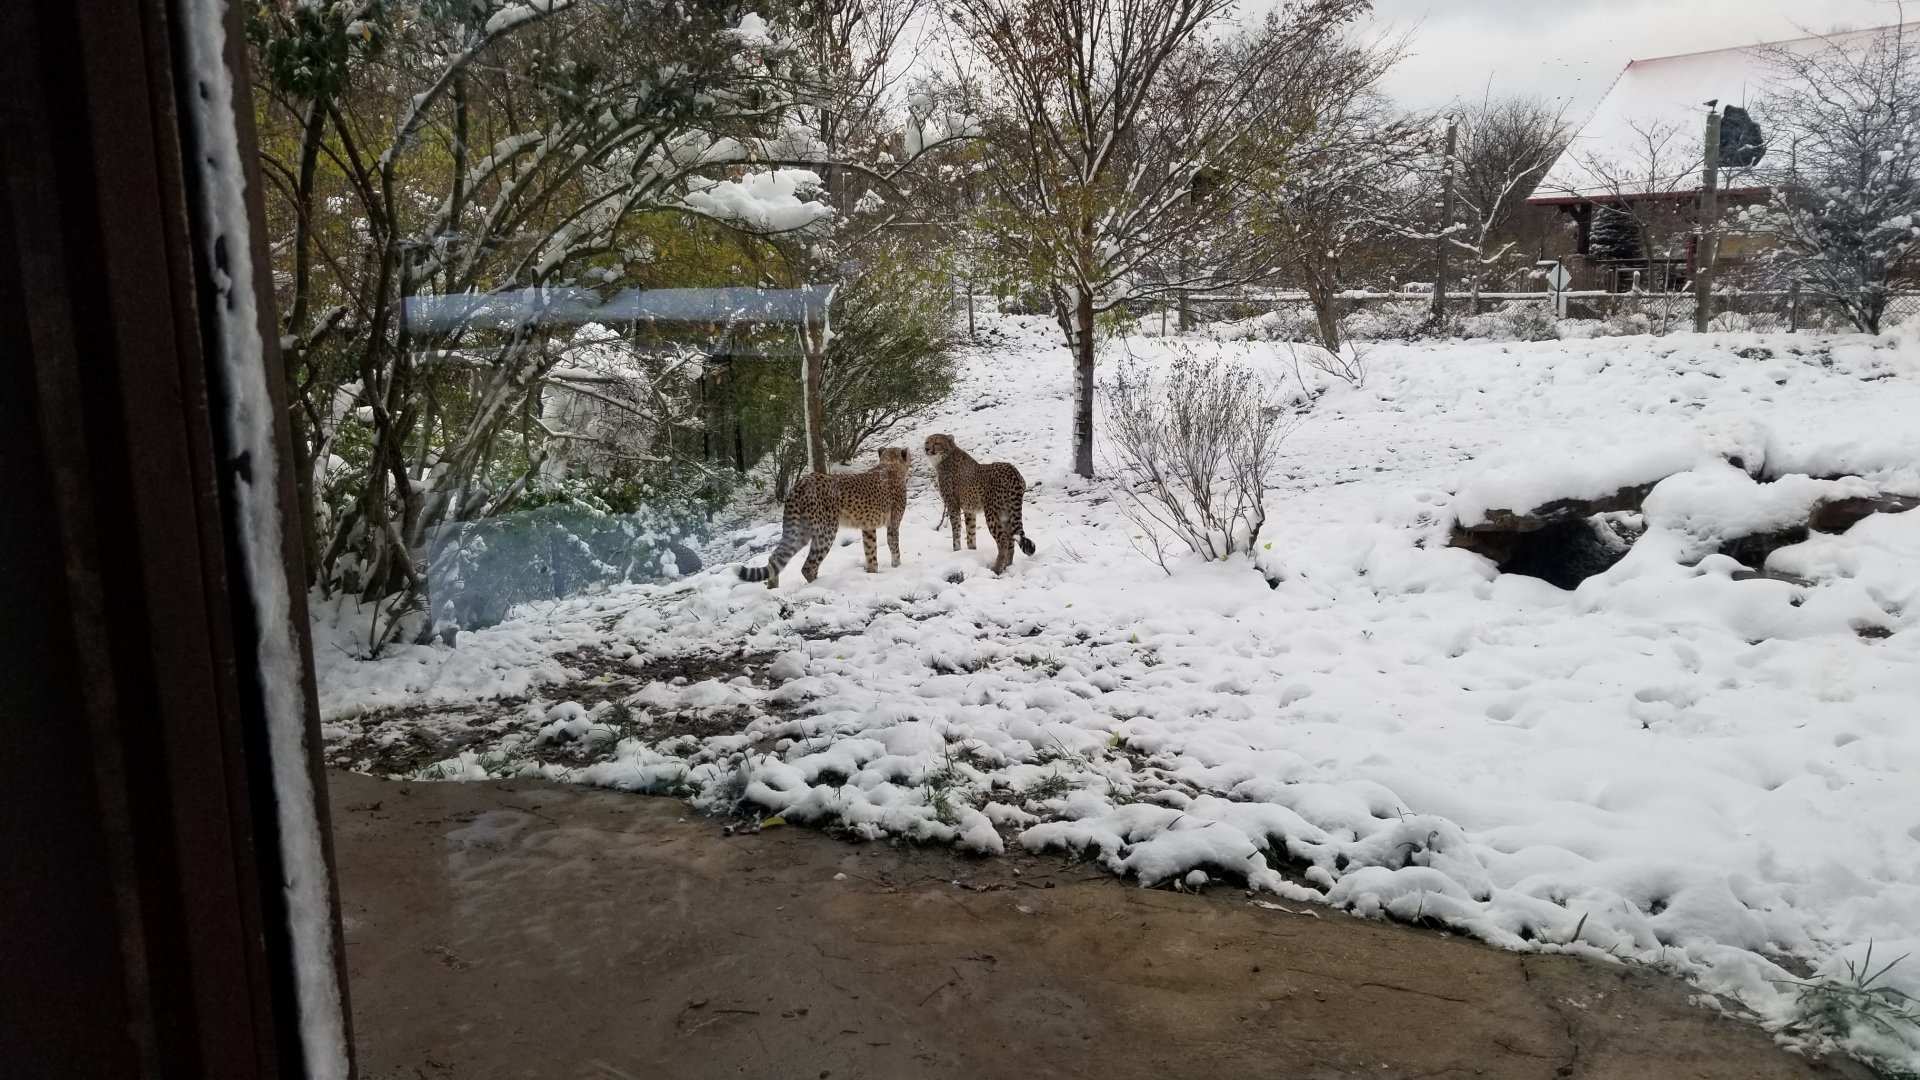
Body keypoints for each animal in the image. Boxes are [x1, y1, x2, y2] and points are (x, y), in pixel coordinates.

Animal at [737, 447, 911, 589]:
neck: (890, 464)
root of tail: (801, 483)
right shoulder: (893, 524)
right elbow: (894, 547)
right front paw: (897, 567)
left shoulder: (868, 528)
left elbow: (871, 552)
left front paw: (872, 573)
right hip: (827, 531)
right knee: (808, 566)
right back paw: (820, 585)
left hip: (801, 531)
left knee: (775, 558)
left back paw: (773, 589)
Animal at [922, 433, 1035, 574]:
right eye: (927, 441)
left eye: (937, 443)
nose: (926, 448)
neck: (945, 457)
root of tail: (1012, 470)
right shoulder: (969, 510)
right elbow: (971, 533)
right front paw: (971, 552)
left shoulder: (953, 505)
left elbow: (956, 533)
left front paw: (956, 552)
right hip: (1007, 514)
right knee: (1011, 540)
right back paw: (1007, 565)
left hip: (992, 513)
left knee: (1003, 541)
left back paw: (997, 568)